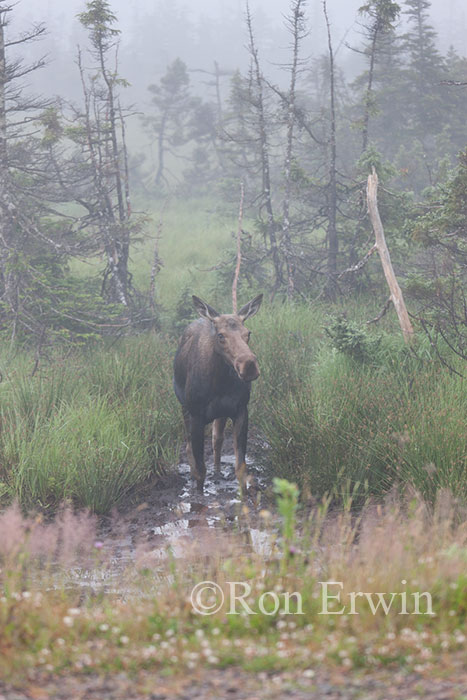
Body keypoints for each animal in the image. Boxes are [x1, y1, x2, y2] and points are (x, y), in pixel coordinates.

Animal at [175, 294, 264, 492]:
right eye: (221, 335)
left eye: (248, 333)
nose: (249, 365)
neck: (220, 383)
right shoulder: (196, 415)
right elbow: (200, 470)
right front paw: (198, 492)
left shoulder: (240, 410)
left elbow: (240, 467)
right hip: (184, 407)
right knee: (188, 446)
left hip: (220, 413)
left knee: (217, 439)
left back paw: (217, 473)